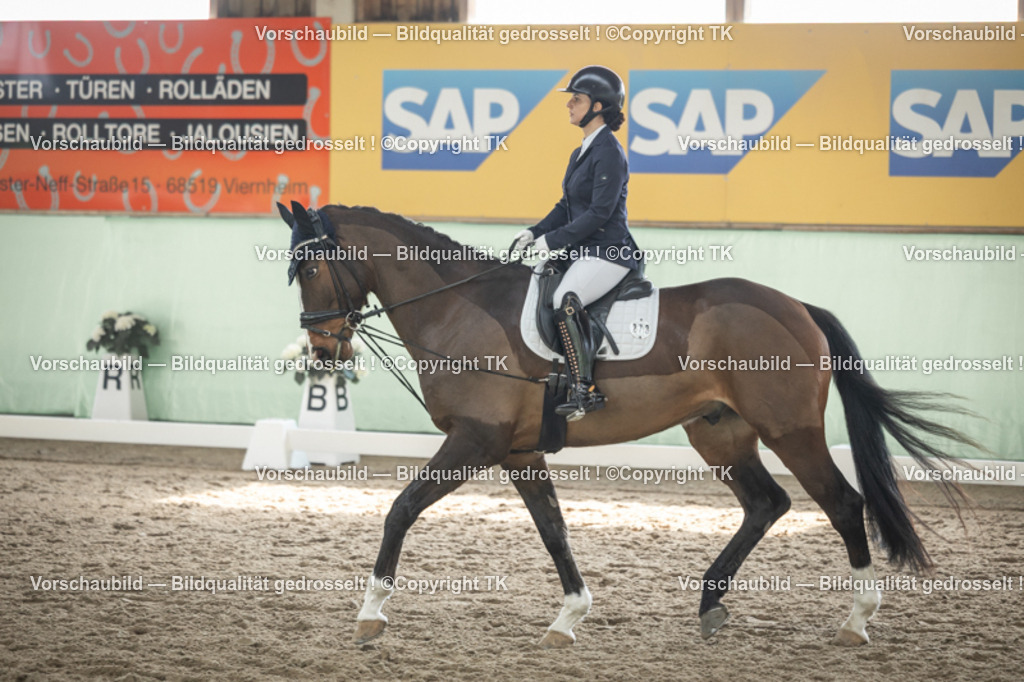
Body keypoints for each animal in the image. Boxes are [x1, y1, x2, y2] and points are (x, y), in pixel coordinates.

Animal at [277, 201, 976, 648]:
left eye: (309, 269)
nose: (323, 352)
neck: (455, 308)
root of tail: (797, 307)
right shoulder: (519, 453)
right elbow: (553, 530)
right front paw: (569, 618)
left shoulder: (476, 439)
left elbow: (400, 508)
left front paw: (371, 614)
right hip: (719, 430)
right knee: (765, 503)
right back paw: (710, 604)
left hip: (790, 431)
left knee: (841, 503)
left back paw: (856, 621)